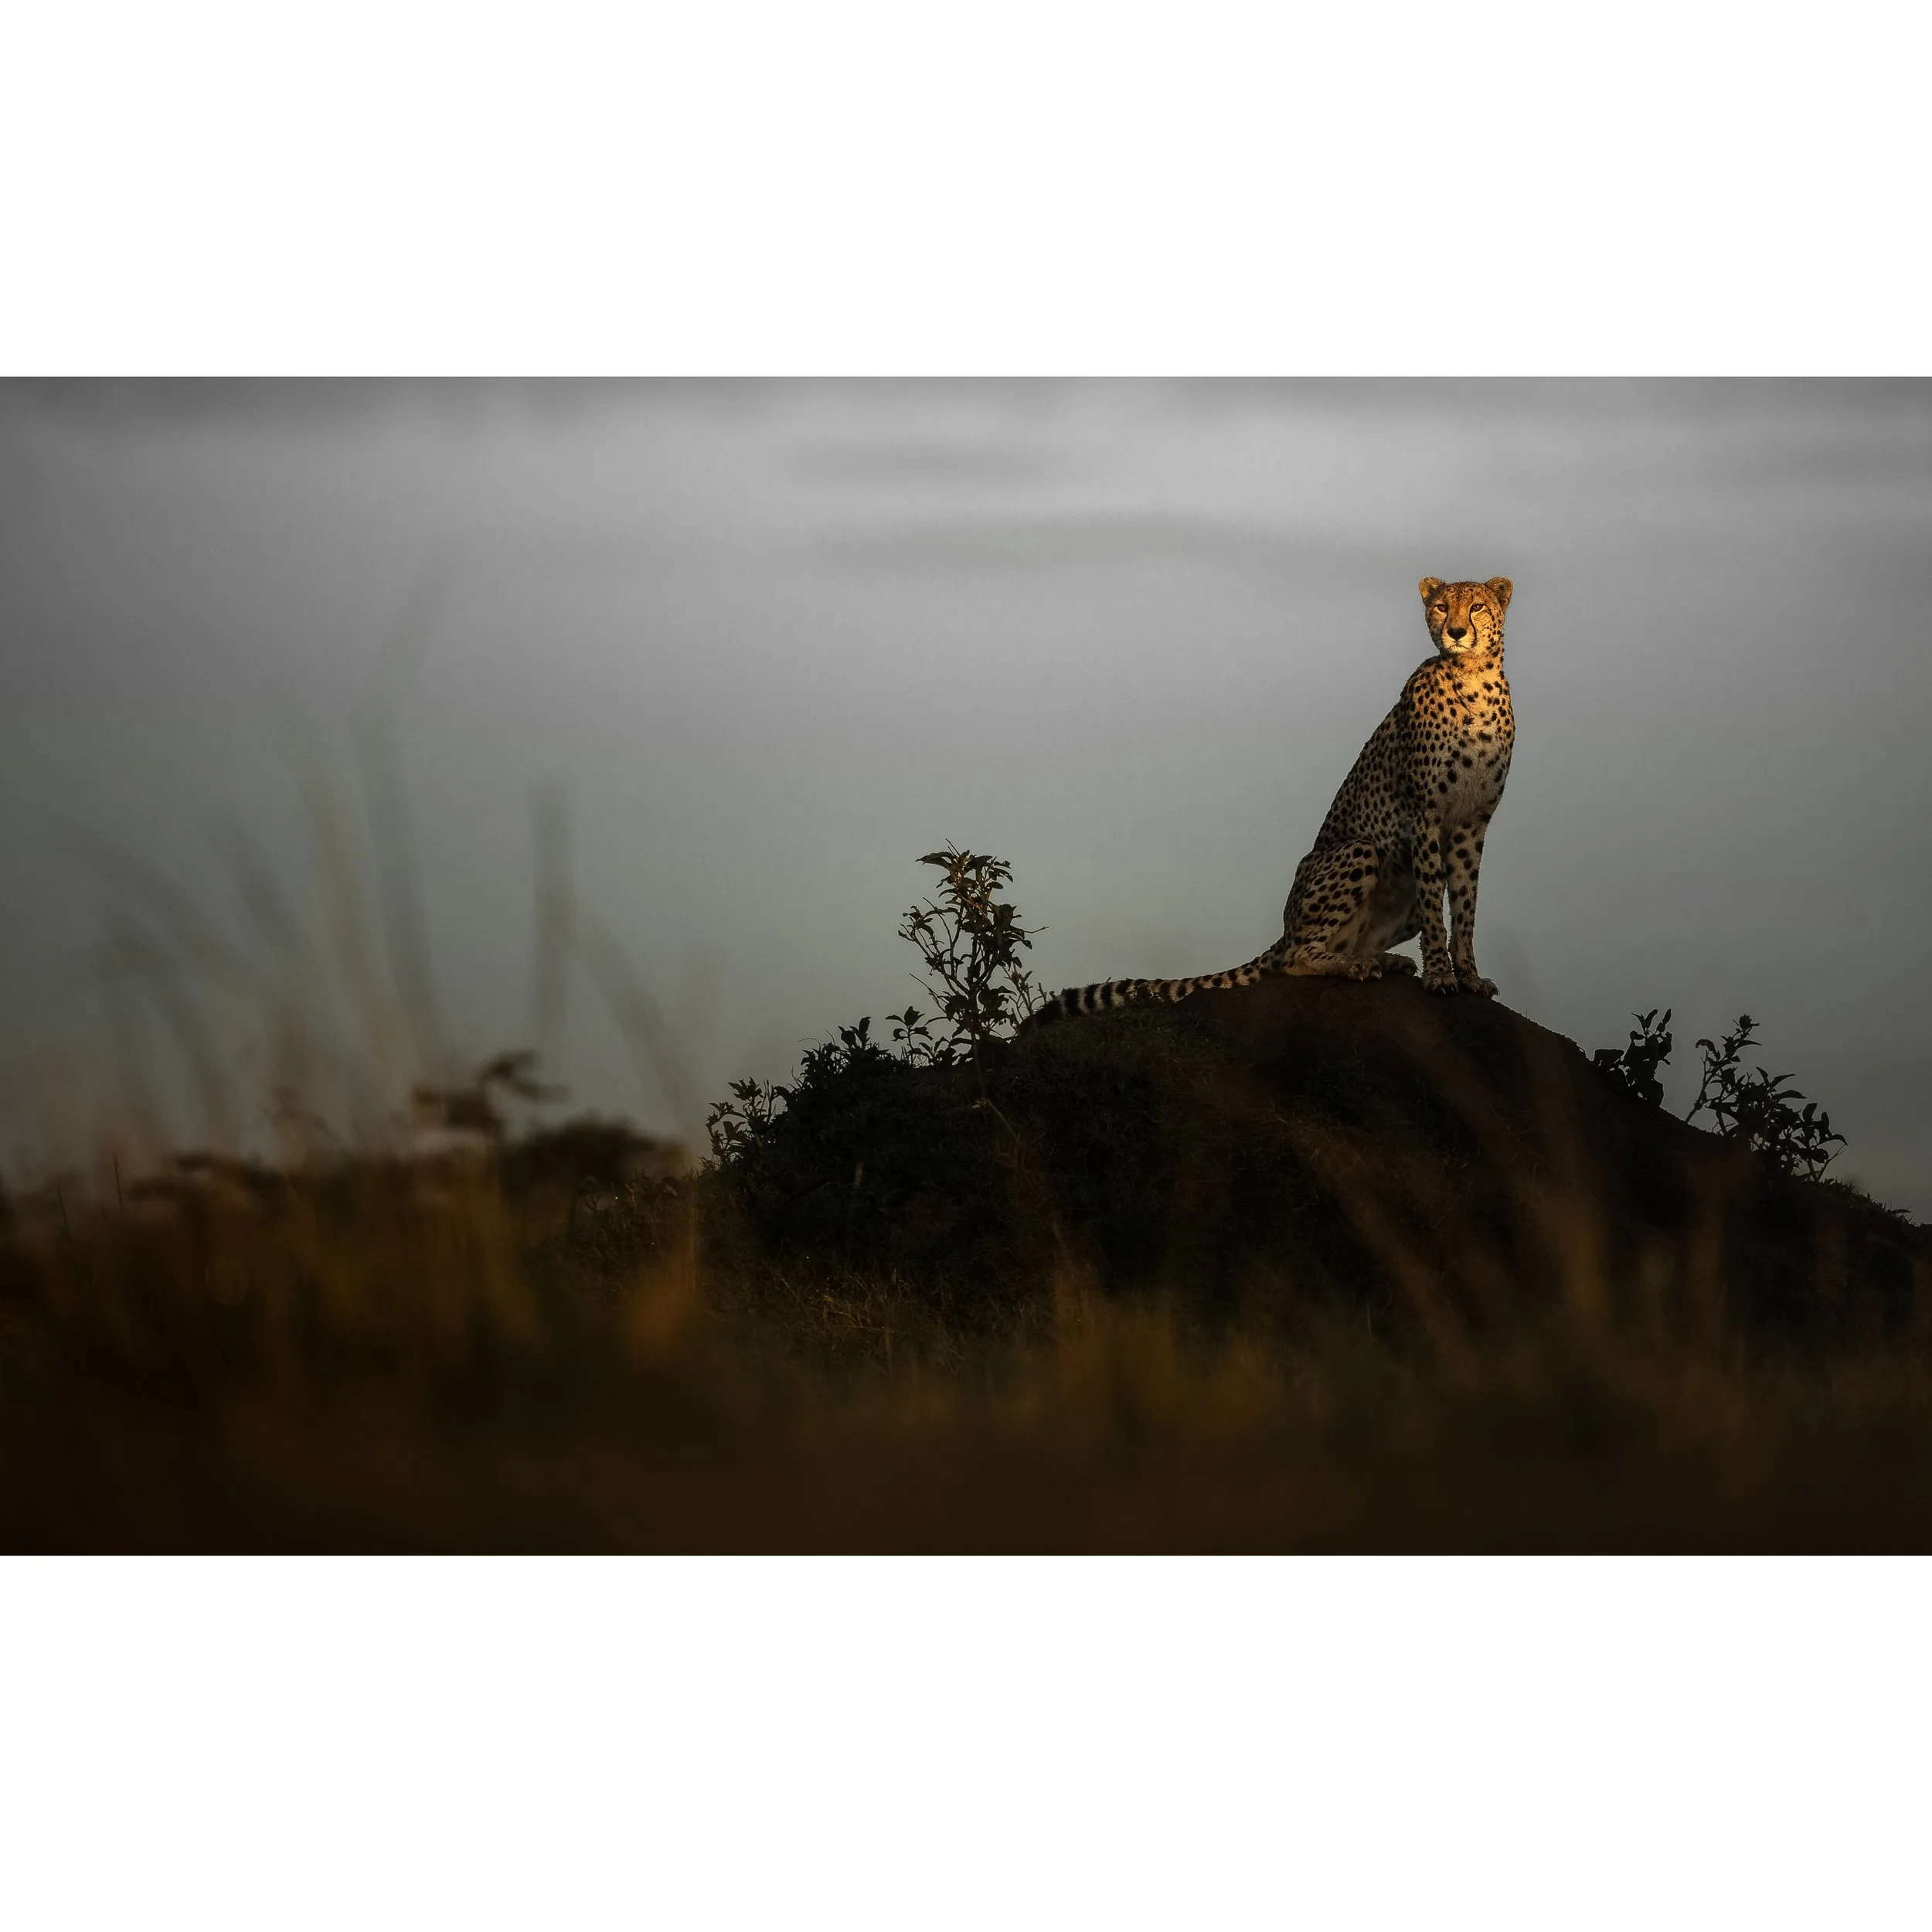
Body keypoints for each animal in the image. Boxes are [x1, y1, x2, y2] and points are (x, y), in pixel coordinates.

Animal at [1024, 575, 1516, 1027]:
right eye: (1440, 607)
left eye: (1476, 606)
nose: (1455, 632)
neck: (1473, 676)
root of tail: (1285, 926)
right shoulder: (1425, 816)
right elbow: (1437, 900)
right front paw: (1440, 976)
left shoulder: (1472, 822)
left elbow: (1465, 903)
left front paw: (1469, 976)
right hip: (1360, 851)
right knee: (1295, 958)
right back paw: (1353, 964)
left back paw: (1382, 959)